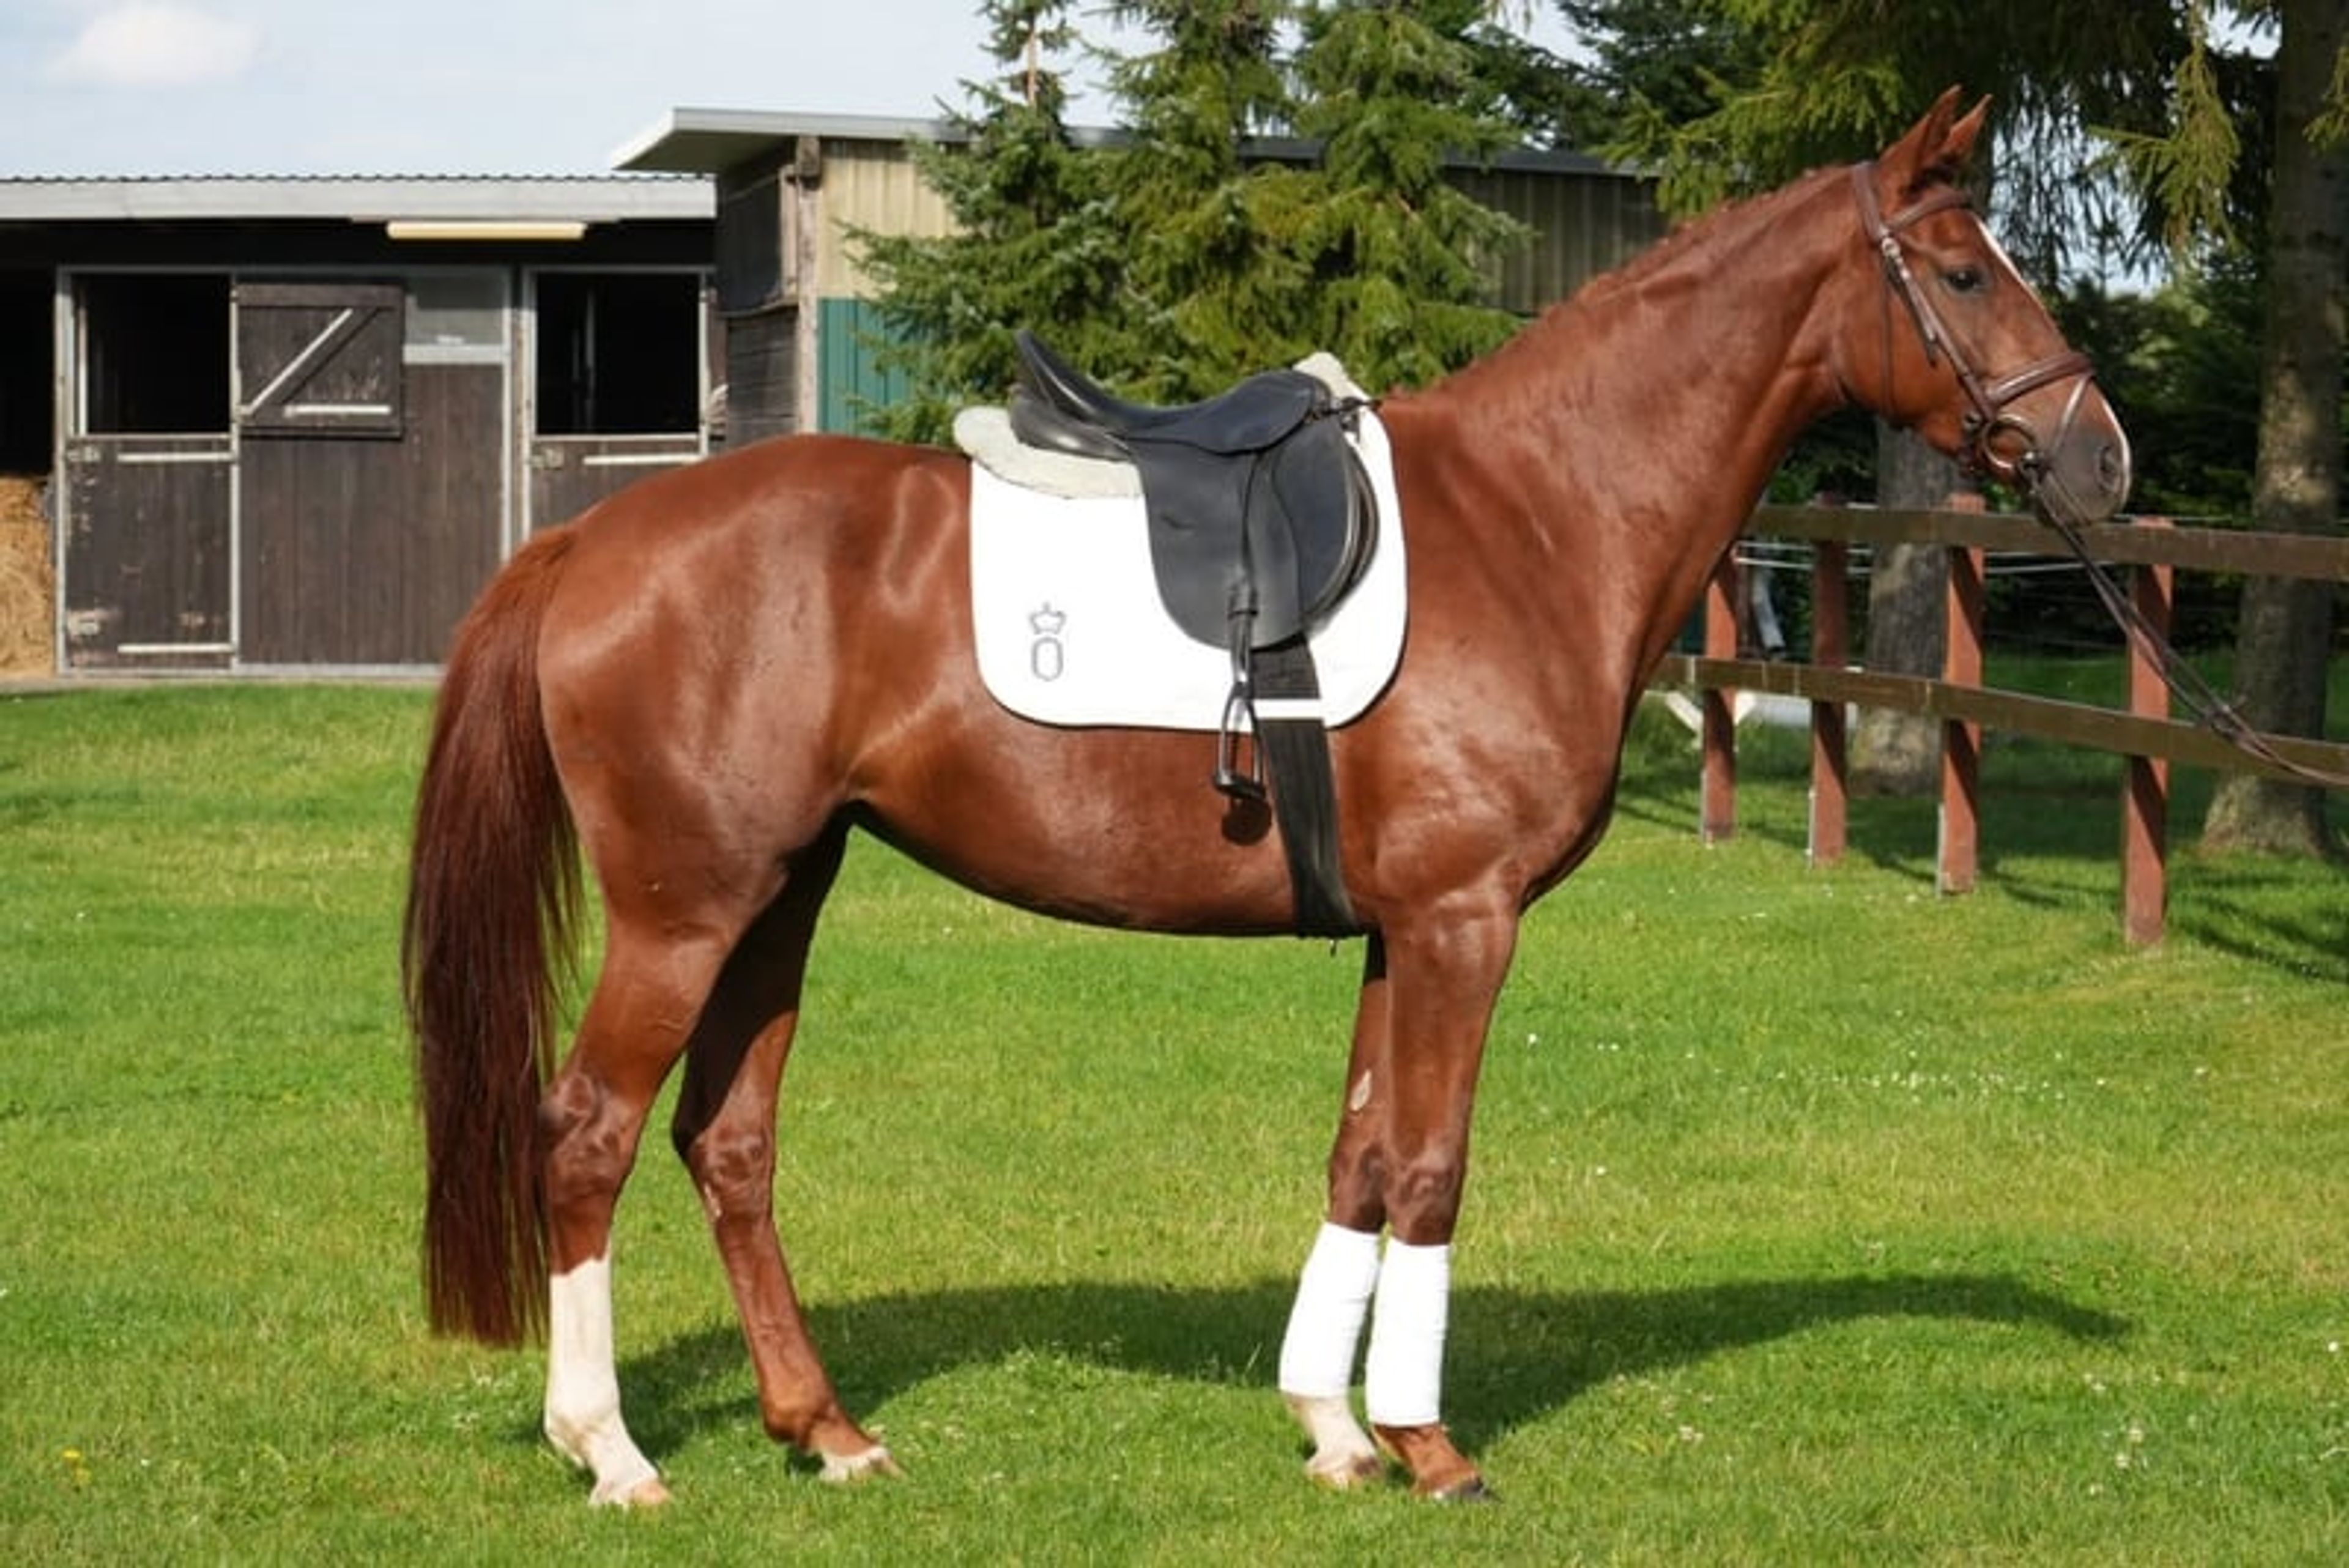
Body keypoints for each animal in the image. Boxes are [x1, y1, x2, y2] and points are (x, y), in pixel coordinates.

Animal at [403, 90, 2131, 1507]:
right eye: (1962, 274)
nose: (2100, 460)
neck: (1539, 515)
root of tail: (594, 541)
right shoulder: (1463, 926)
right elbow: (1431, 1169)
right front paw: (1428, 1446)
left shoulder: (1395, 930)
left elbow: (1358, 1158)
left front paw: (1333, 1428)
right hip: (686, 909)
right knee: (589, 1132)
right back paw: (609, 1450)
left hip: (783, 893)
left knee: (728, 1141)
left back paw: (823, 1431)